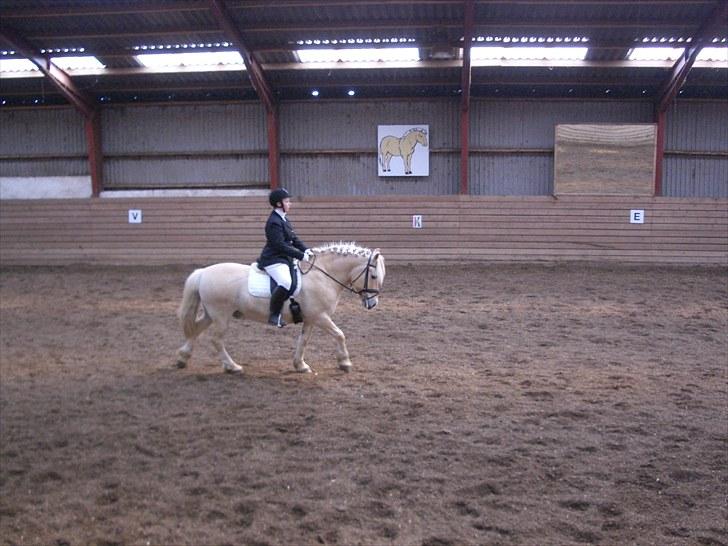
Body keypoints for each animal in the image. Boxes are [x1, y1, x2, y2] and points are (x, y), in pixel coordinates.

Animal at [176, 243, 384, 374]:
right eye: (373, 275)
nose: (372, 304)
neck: (322, 275)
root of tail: (203, 272)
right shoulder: (320, 316)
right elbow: (340, 334)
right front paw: (345, 363)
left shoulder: (311, 318)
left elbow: (303, 341)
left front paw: (300, 366)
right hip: (221, 316)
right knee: (216, 340)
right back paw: (233, 367)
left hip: (211, 314)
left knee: (196, 329)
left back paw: (183, 358)